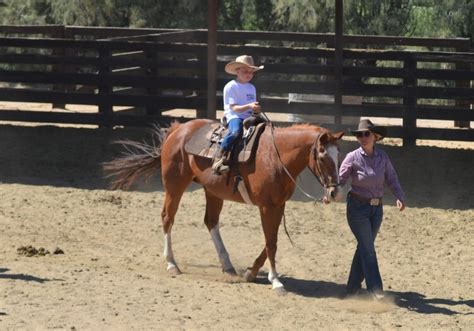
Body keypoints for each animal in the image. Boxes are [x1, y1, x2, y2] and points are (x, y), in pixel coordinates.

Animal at [103, 119, 342, 296]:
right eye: (323, 156)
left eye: (339, 155)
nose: (335, 193)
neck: (276, 156)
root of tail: (178, 129)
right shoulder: (266, 206)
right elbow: (271, 242)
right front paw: (276, 281)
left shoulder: (278, 204)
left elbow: (271, 240)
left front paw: (250, 272)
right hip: (174, 184)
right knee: (167, 217)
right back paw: (172, 263)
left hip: (212, 191)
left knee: (211, 221)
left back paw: (228, 266)